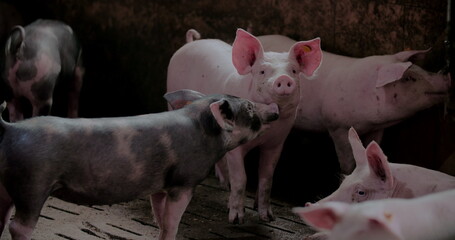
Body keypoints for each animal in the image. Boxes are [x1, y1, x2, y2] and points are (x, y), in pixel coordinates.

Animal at [0, 89, 280, 240]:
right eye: (249, 108)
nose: (275, 107)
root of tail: (12, 128)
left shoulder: (160, 185)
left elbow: (161, 218)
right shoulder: (184, 182)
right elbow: (172, 222)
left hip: (8, 184)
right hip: (33, 183)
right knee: (18, 225)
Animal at [168, 28, 324, 223]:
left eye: (294, 71)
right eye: (262, 71)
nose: (283, 78)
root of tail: (190, 43)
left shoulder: (276, 142)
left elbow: (267, 178)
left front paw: (268, 217)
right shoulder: (236, 145)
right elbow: (241, 178)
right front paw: (236, 220)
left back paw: (224, 184)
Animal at [258, 34, 450, 172]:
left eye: (420, 69)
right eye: (409, 78)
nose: (446, 76)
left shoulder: (377, 128)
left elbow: (374, 144)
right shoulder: (337, 124)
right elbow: (347, 159)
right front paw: (349, 172)